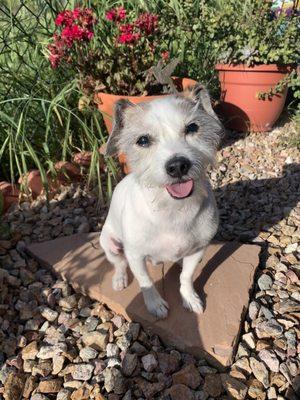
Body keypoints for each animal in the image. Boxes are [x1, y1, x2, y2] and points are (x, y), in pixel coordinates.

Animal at [99, 85, 223, 318]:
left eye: (192, 127)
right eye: (143, 140)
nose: (178, 166)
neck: (172, 209)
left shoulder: (198, 249)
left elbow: (186, 276)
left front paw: (189, 298)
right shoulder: (135, 255)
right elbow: (145, 281)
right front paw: (155, 304)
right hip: (109, 243)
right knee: (119, 263)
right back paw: (120, 278)